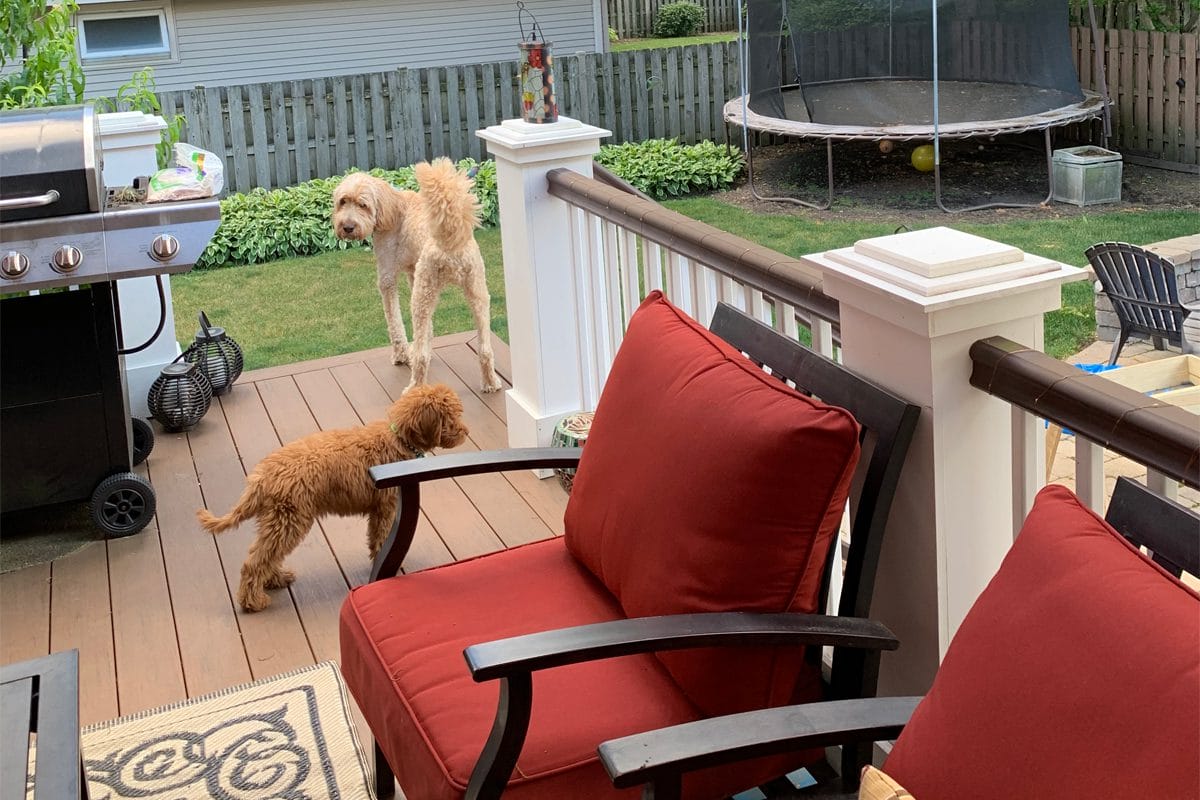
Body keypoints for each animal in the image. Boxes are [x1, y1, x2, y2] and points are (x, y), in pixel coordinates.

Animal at [194, 383, 465, 609]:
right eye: (452, 417)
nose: (466, 431)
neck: (398, 439)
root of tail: (261, 477)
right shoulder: (386, 508)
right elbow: (381, 538)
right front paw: (386, 562)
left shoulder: (378, 509)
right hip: (290, 519)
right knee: (255, 561)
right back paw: (252, 601)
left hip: (276, 520)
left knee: (262, 554)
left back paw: (275, 578)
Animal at [328, 159, 501, 393]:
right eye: (343, 201)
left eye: (362, 205)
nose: (347, 227)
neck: (392, 206)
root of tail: (450, 240)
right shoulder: (413, 274)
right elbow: (426, 331)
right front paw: (426, 342)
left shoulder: (387, 276)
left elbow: (394, 321)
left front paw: (401, 355)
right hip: (477, 293)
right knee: (485, 349)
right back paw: (490, 383)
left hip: (422, 297)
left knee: (420, 357)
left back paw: (414, 388)